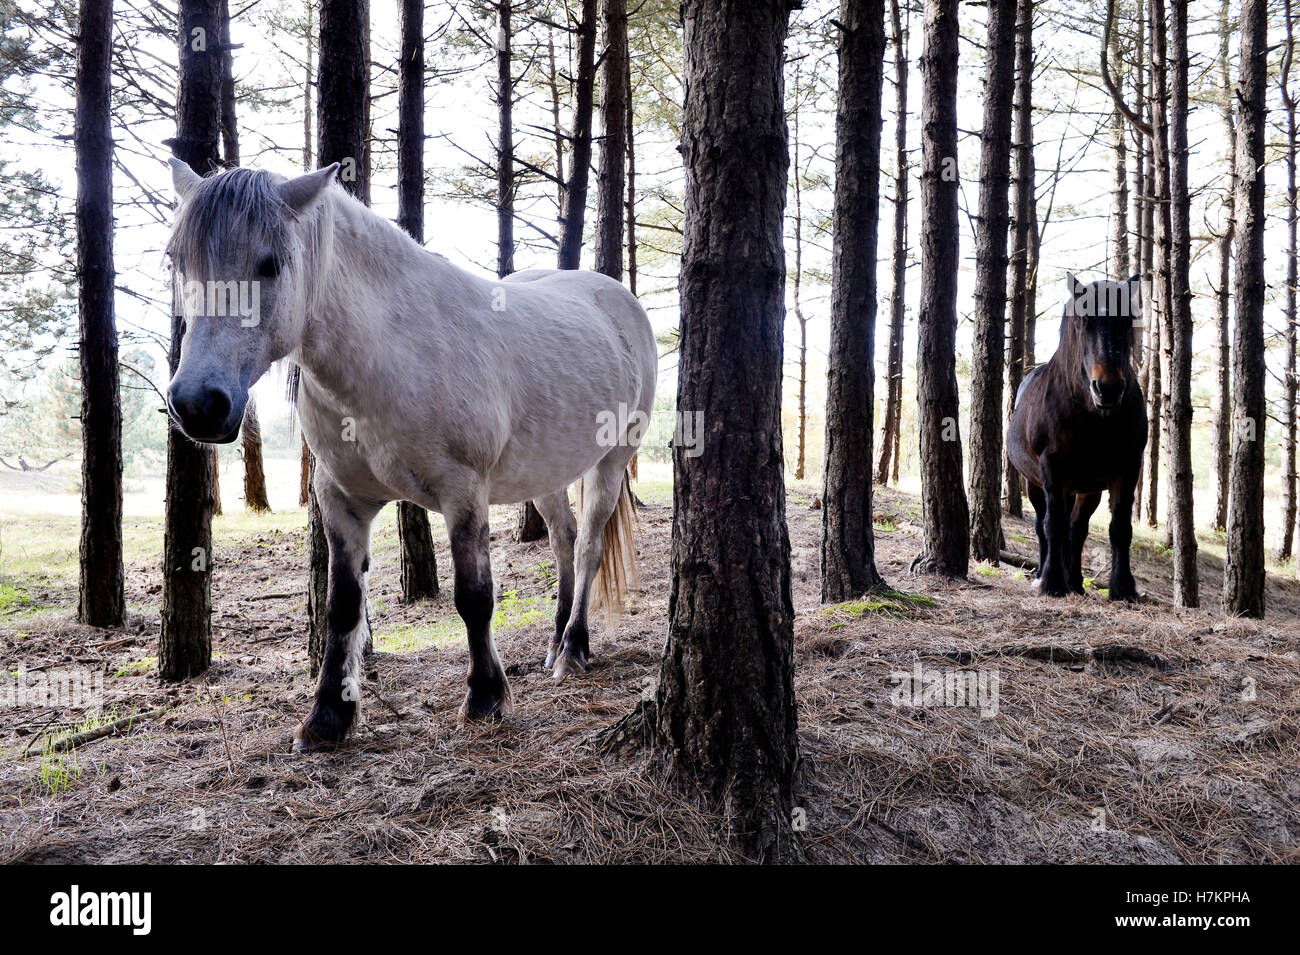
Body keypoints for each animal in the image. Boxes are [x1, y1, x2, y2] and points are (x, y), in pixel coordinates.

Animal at [167, 160, 655, 748]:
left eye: (269, 263)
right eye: (178, 262)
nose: (198, 404)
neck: (388, 353)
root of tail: (619, 299)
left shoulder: (463, 492)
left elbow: (474, 597)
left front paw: (485, 697)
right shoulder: (339, 497)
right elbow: (342, 606)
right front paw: (328, 715)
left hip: (610, 463)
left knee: (586, 549)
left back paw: (574, 650)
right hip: (545, 474)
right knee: (563, 541)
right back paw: (555, 642)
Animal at [1003, 272, 1149, 597]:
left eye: (1126, 321)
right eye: (1084, 321)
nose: (1107, 388)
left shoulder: (1127, 468)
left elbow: (1119, 528)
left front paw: (1123, 588)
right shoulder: (1052, 469)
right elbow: (1053, 525)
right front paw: (1050, 582)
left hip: (1085, 488)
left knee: (1077, 529)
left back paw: (1075, 582)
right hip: (1036, 484)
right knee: (1042, 525)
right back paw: (1044, 575)